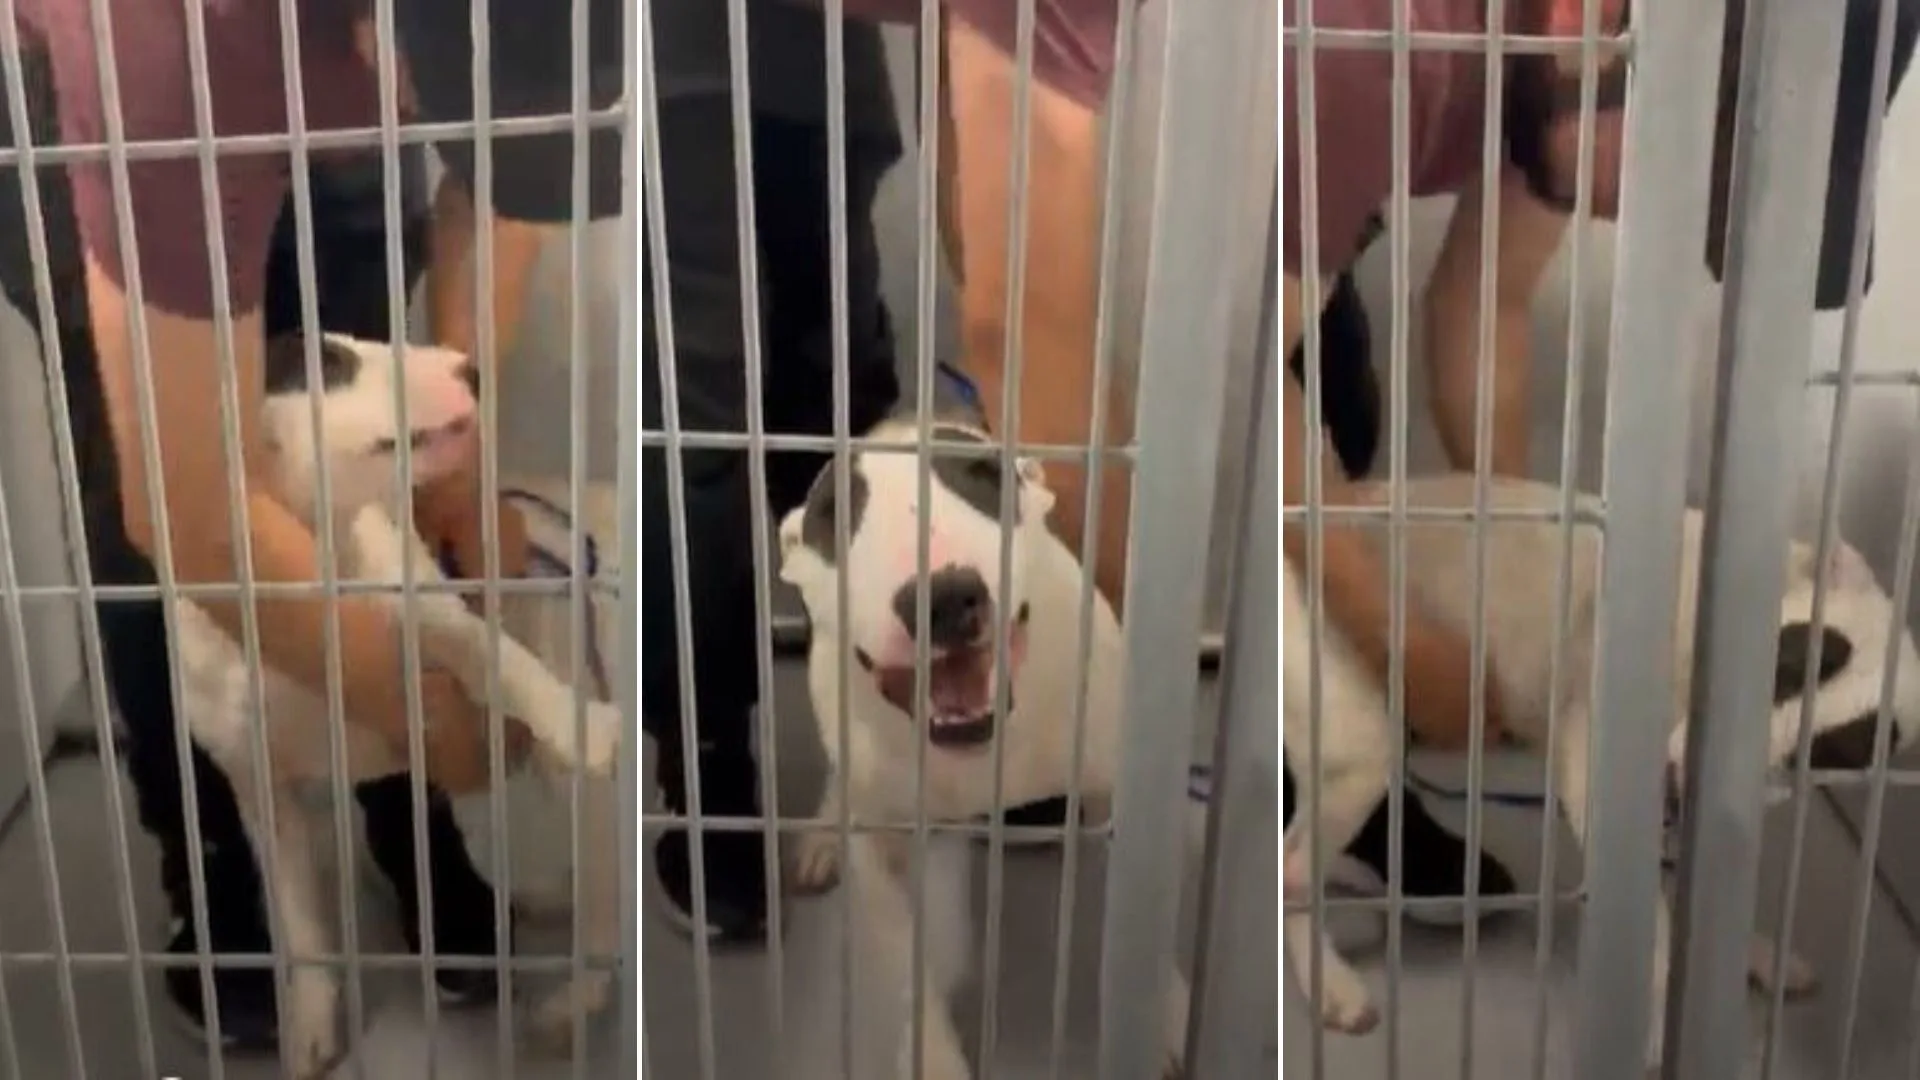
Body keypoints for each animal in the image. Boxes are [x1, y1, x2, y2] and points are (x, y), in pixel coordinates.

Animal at [174, 332, 622, 1068]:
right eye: (331, 361)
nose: (470, 369)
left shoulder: (425, 608)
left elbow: (484, 649)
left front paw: (572, 720)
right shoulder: (262, 790)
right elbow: (299, 920)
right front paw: (312, 1026)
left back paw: (573, 999)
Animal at [771, 409, 1190, 1068]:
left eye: (987, 477)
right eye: (834, 512)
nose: (943, 598)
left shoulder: (1117, 790)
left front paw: (1167, 1013)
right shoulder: (879, 847)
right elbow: (907, 962)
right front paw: (933, 1057)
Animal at [1282, 472, 1920, 1068]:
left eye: (1837, 751)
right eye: (1794, 662)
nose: (1686, 782)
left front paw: (1758, 954)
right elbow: (1656, 930)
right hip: (1362, 745)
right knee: (1292, 872)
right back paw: (1328, 979)